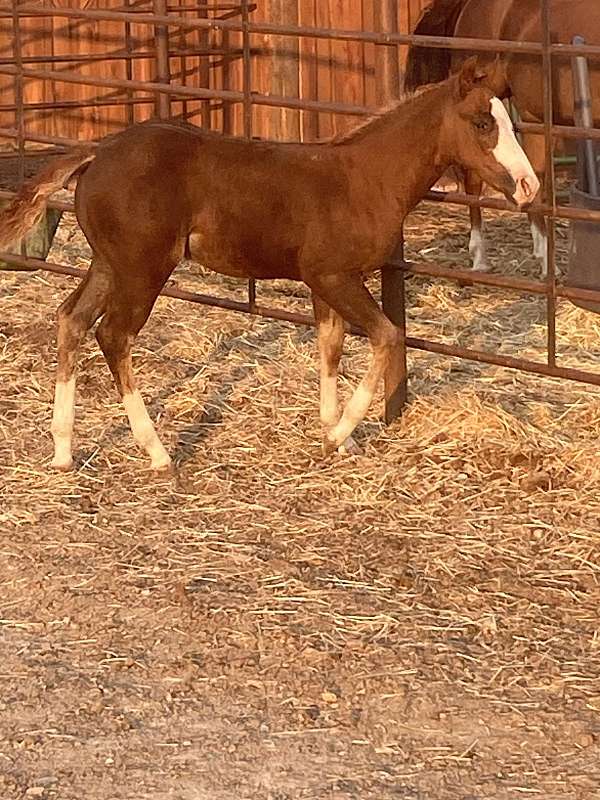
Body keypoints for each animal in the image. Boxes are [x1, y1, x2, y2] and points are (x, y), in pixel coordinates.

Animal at [0, 59, 536, 472]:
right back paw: (157, 453)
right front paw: (338, 432)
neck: (364, 178)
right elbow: (387, 336)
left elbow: (330, 347)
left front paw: (338, 436)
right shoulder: (335, 277)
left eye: (511, 122)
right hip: (142, 270)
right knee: (113, 337)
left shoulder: (323, 284)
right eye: (481, 122)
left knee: (70, 321)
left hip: (110, 264)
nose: (529, 186)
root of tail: (98, 152)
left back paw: (63, 451)